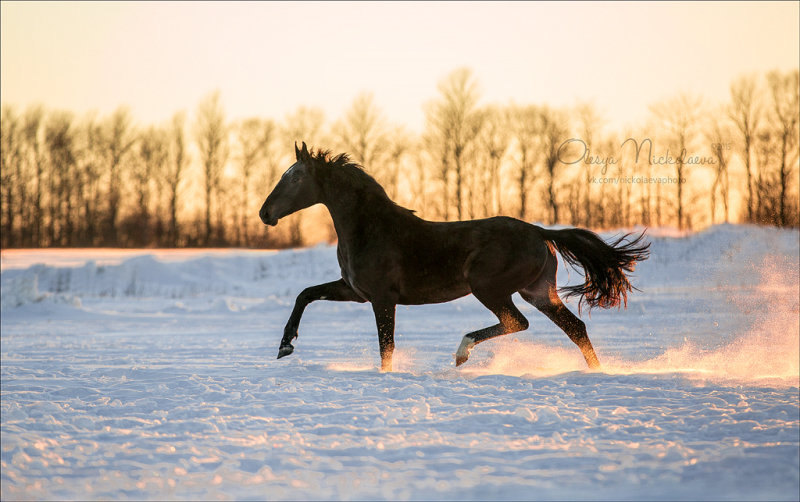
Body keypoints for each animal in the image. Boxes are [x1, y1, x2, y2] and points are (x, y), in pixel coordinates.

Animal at [260, 143, 648, 370]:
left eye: (294, 178)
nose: (265, 214)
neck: (370, 229)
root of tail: (539, 232)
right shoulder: (355, 291)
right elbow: (305, 294)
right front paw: (285, 346)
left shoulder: (383, 299)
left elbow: (387, 346)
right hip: (538, 292)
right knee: (575, 328)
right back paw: (597, 372)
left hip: (489, 288)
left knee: (517, 322)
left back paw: (462, 353)